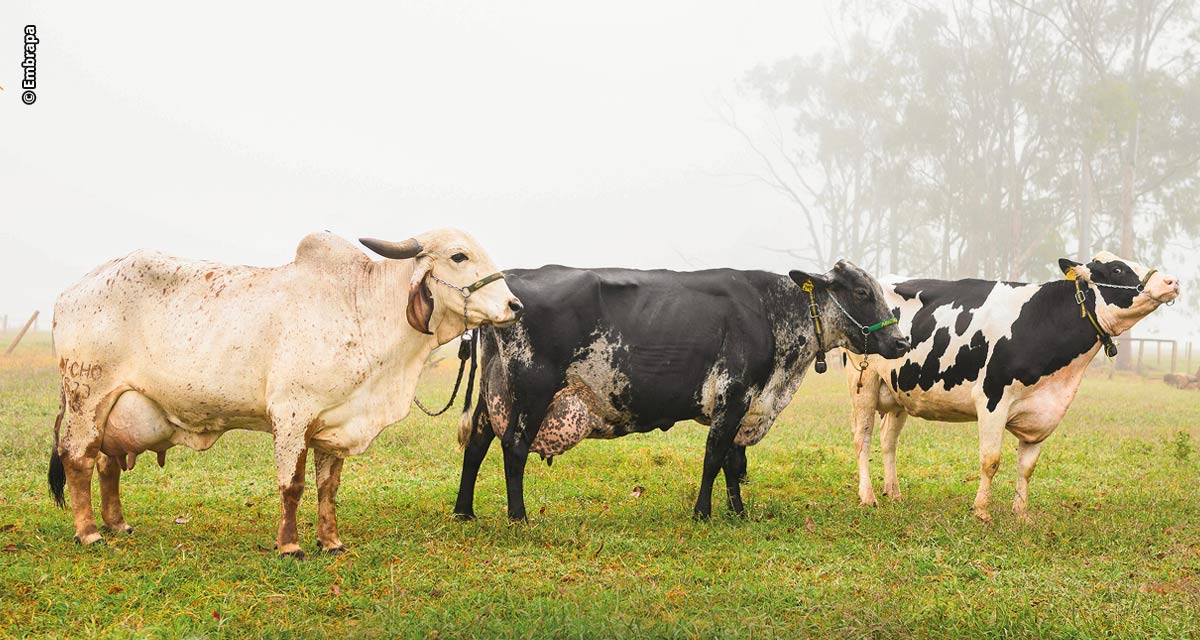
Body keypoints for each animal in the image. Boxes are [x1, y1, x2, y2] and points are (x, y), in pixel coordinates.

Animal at [50, 228, 520, 554]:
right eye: (459, 255)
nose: (514, 305)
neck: (362, 308)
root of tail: (72, 290)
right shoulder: (291, 415)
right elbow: (291, 485)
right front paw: (290, 545)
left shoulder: (333, 424)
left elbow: (328, 488)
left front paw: (330, 542)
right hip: (86, 396)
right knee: (78, 458)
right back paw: (88, 533)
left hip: (114, 407)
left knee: (106, 464)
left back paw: (117, 523)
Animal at [451, 258, 907, 518]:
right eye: (862, 291)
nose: (901, 342)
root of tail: (509, 284)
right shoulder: (734, 396)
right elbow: (714, 457)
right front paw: (703, 513)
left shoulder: (744, 405)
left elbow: (732, 464)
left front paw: (738, 513)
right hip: (531, 391)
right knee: (513, 448)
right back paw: (518, 516)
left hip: (494, 397)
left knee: (476, 445)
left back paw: (464, 512)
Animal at [849, 249, 1176, 518]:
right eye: (1118, 269)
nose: (1170, 281)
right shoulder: (992, 398)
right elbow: (991, 460)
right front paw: (982, 511)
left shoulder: (1042, 411)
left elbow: (1027, 467)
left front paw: (1020, 513)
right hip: (863, 382)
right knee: (862, 440)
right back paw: (868, 497)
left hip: (897, 390)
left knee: (888, 441)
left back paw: (894, 493)